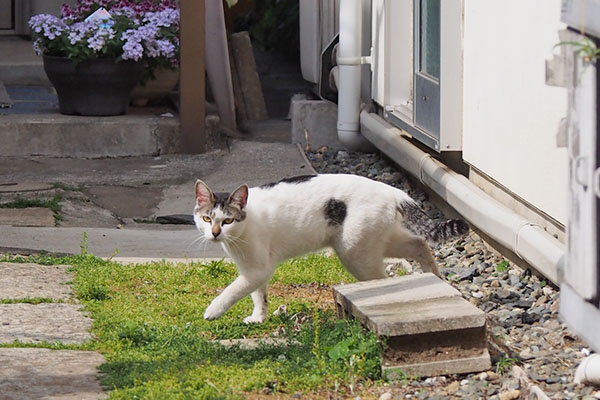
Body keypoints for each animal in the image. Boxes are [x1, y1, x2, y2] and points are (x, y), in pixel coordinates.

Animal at [193, 173, 468, 324]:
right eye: (207, 219)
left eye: (227, 221)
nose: (215, 233)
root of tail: (393, 190)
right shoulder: (253, 269)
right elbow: (259, 295)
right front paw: (259, 318)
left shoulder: (258, 269)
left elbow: (234, 290)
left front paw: (212, 310)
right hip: (381, 240)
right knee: (420, 244)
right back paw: (434, 277)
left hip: (355, 252)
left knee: (382, 276)